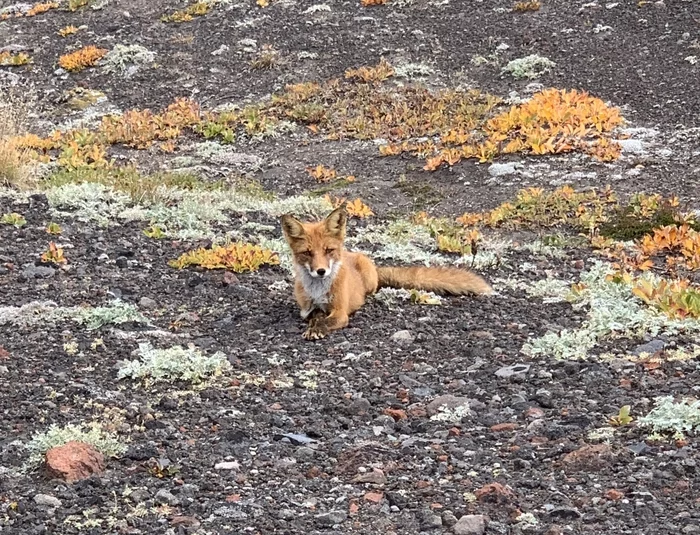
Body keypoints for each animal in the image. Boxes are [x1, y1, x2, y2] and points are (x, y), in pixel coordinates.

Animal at [280, 205, 492, 340]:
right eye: (307, 253)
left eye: (328, 250)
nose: (321, 271)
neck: (319, 290)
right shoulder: (308, 309)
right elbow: (316, 317)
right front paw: (313, 326)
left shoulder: (340, 312)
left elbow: (326, 321)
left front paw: (318, 329)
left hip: (368, 278)